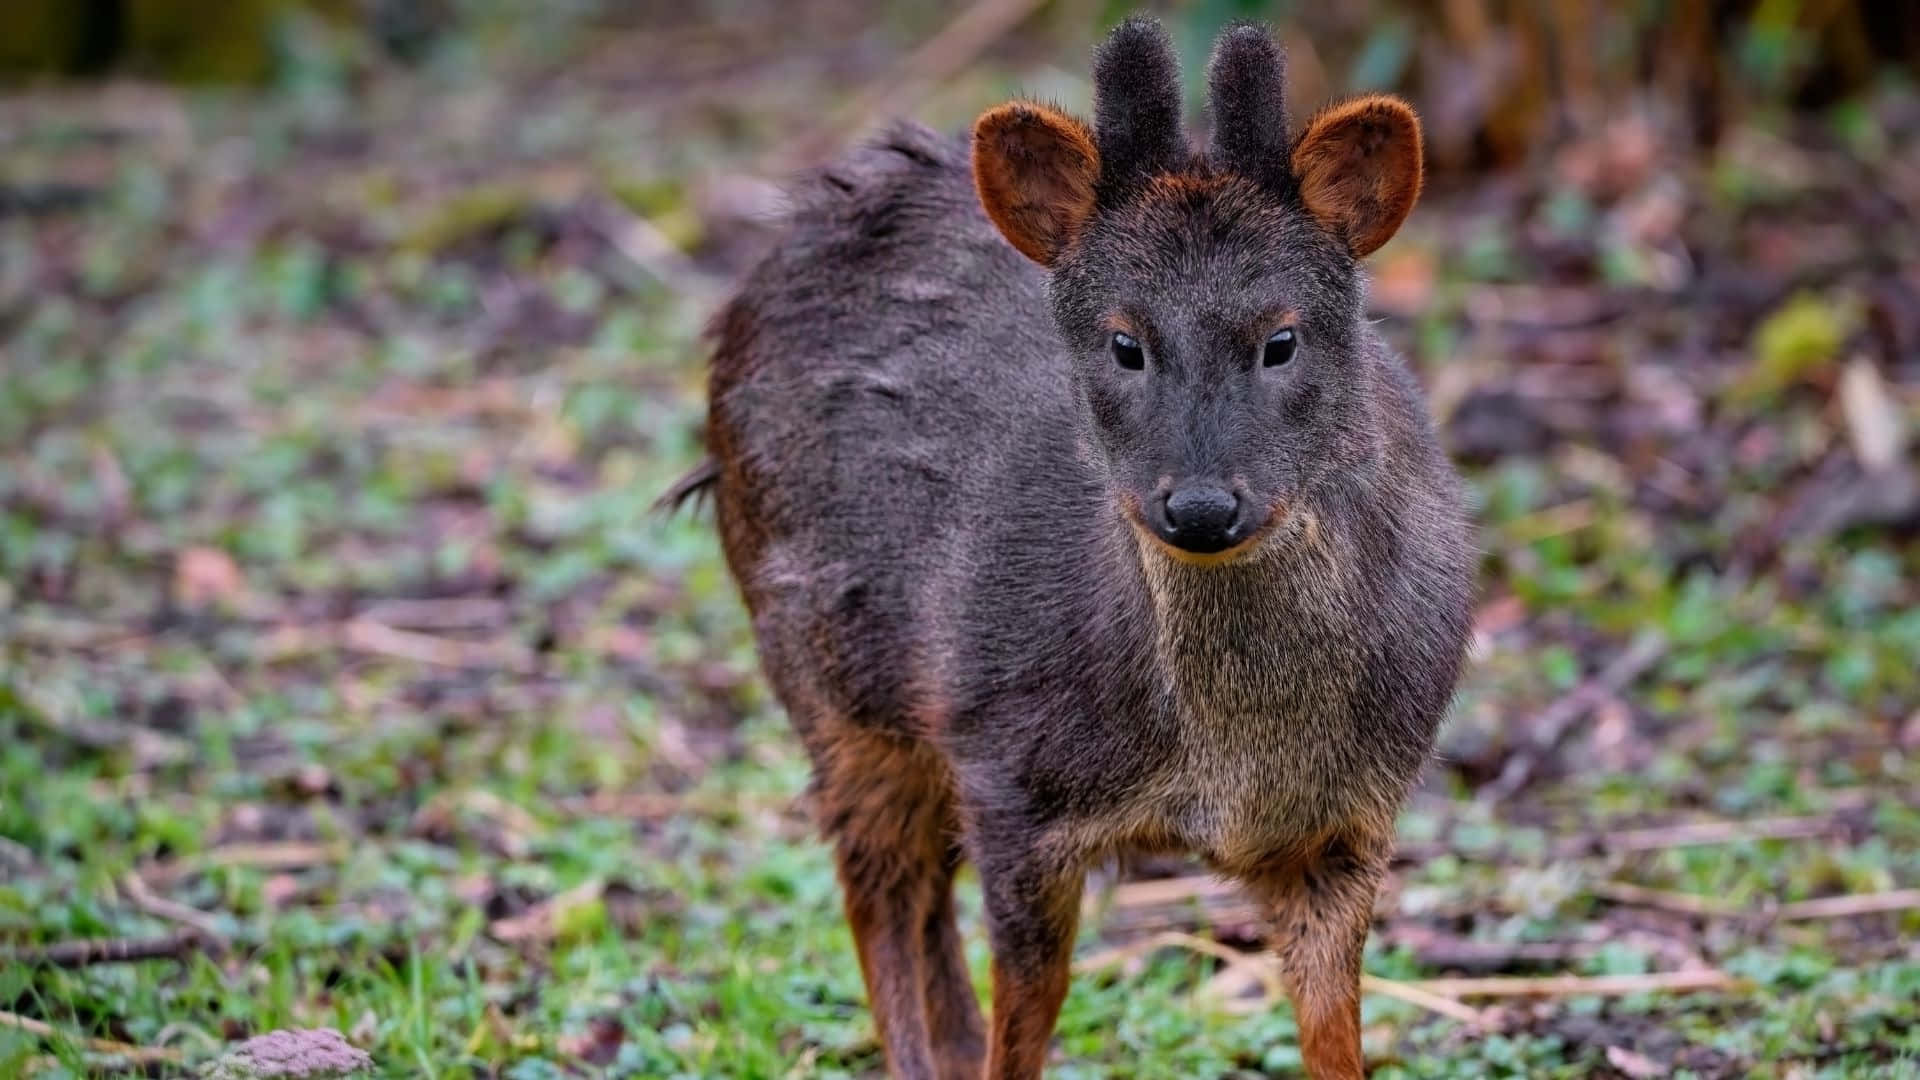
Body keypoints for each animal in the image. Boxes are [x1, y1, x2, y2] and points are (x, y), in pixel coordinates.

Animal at [683, 16, 1474, 1076]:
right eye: (1123, 342)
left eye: (1282, 338)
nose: (1200, 507)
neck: (1235, 767)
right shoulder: (1008, 775)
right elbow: (1026, 1017)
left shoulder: (1353, 825)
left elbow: (1333, 1032)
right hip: (828, 672)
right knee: (881, 887)